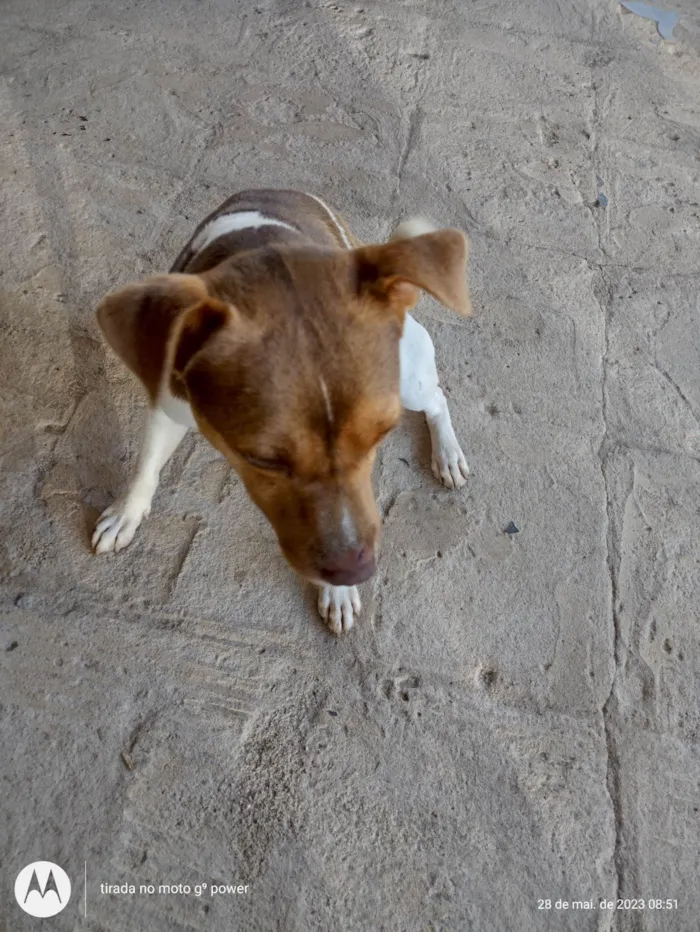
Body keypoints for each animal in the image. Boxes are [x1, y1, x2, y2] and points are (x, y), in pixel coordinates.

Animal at [91, 193, 470, 636]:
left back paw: (448, 455)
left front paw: (338, 594)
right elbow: (146, 468)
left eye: (383, 434)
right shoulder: (166, 401)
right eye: (263, 460)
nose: (357, 573)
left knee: (438, 399)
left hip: (410, 377)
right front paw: (125, 515)